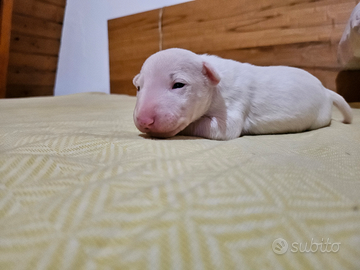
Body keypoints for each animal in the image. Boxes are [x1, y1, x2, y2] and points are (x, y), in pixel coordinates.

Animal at [131, 48, 352, 140]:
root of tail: (326, 91)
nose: (143, 121)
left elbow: (224, 129)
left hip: (320, 116)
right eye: (139, 88)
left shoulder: (232, 105)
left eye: (178, 84)